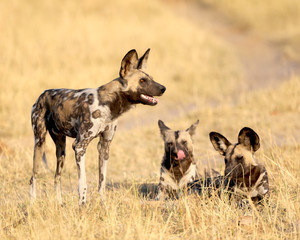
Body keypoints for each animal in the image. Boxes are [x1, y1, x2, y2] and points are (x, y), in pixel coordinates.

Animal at [29, 48, 166, 204]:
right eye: (142, 81)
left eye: (152, 78)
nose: (163, 88)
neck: (108, 104)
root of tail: (42, 94)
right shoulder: (79, 147)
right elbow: (83, 183)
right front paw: (82, 205)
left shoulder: (104, 146)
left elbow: (102, 181)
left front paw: (103, 204)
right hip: (40, 143)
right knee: (33, 177)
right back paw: (32, 204)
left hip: (61, 149)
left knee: (57, 177)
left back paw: (60, 204)